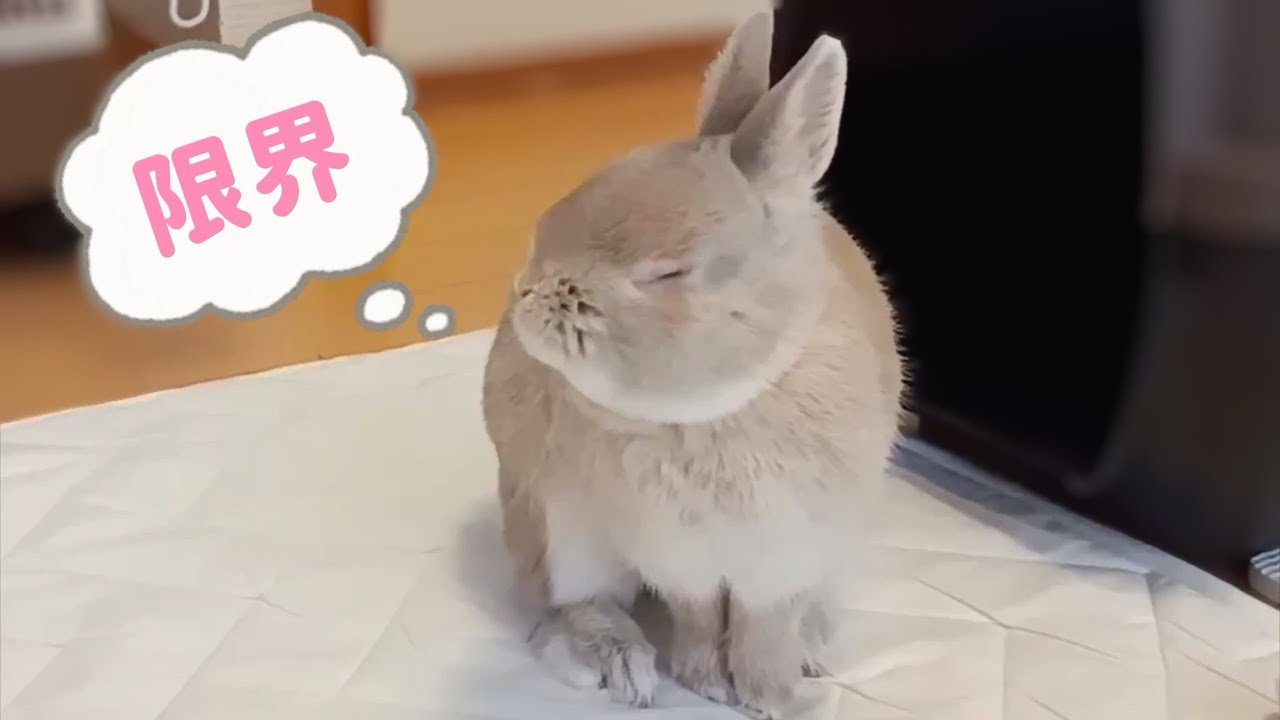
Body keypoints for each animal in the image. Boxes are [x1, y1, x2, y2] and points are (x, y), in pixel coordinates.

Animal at [481, 11, 905, 719]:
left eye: (669, 272)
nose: (527, 294)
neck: (715, 412)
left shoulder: (786, 557)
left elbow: (764, 624)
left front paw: (770, 695)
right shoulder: (680, 558)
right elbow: (701, 614)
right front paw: (707, 682)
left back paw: (810, 651)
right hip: (558, 533)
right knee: (570, 605)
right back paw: (622, 666)